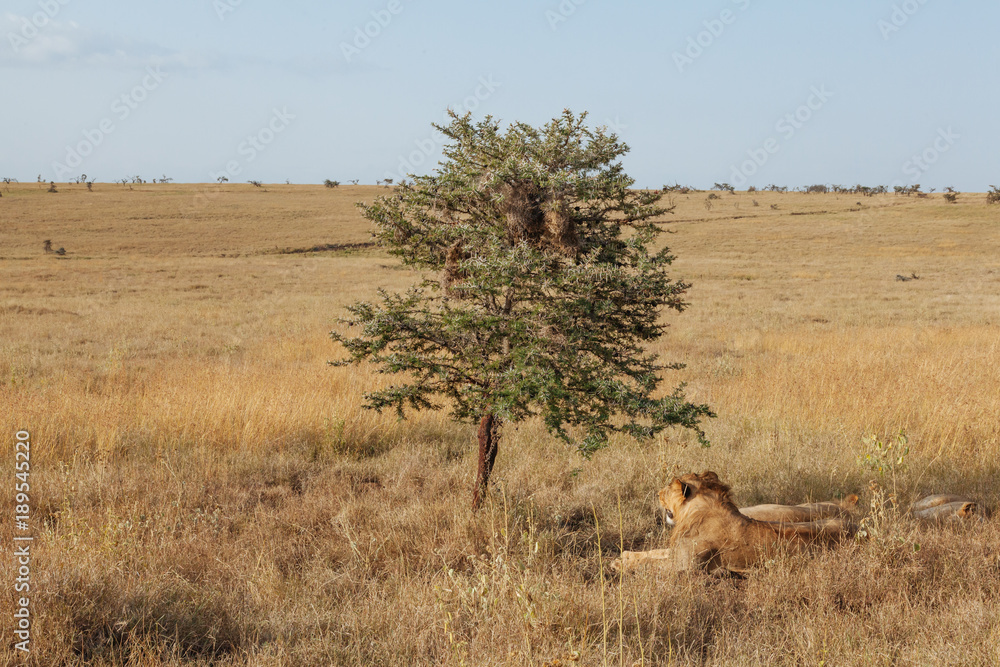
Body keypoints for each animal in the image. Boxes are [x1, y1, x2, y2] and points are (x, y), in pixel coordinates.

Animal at [613, 471, 854, 574]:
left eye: (668, 488)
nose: (657, 493)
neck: (695, 513)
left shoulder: (683, 566)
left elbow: (649, 563)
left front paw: (619, 564)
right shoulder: (675, 552)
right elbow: (653, 553)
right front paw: (625, 555)